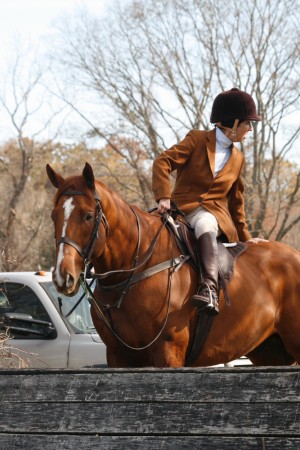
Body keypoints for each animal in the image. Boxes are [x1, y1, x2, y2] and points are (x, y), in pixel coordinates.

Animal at [45, 163, 300, 368]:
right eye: (53, 215)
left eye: (88, 216)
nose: (63, 276)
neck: (133, 273)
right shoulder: (118, 356)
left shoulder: (168, 352)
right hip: (269, 351)